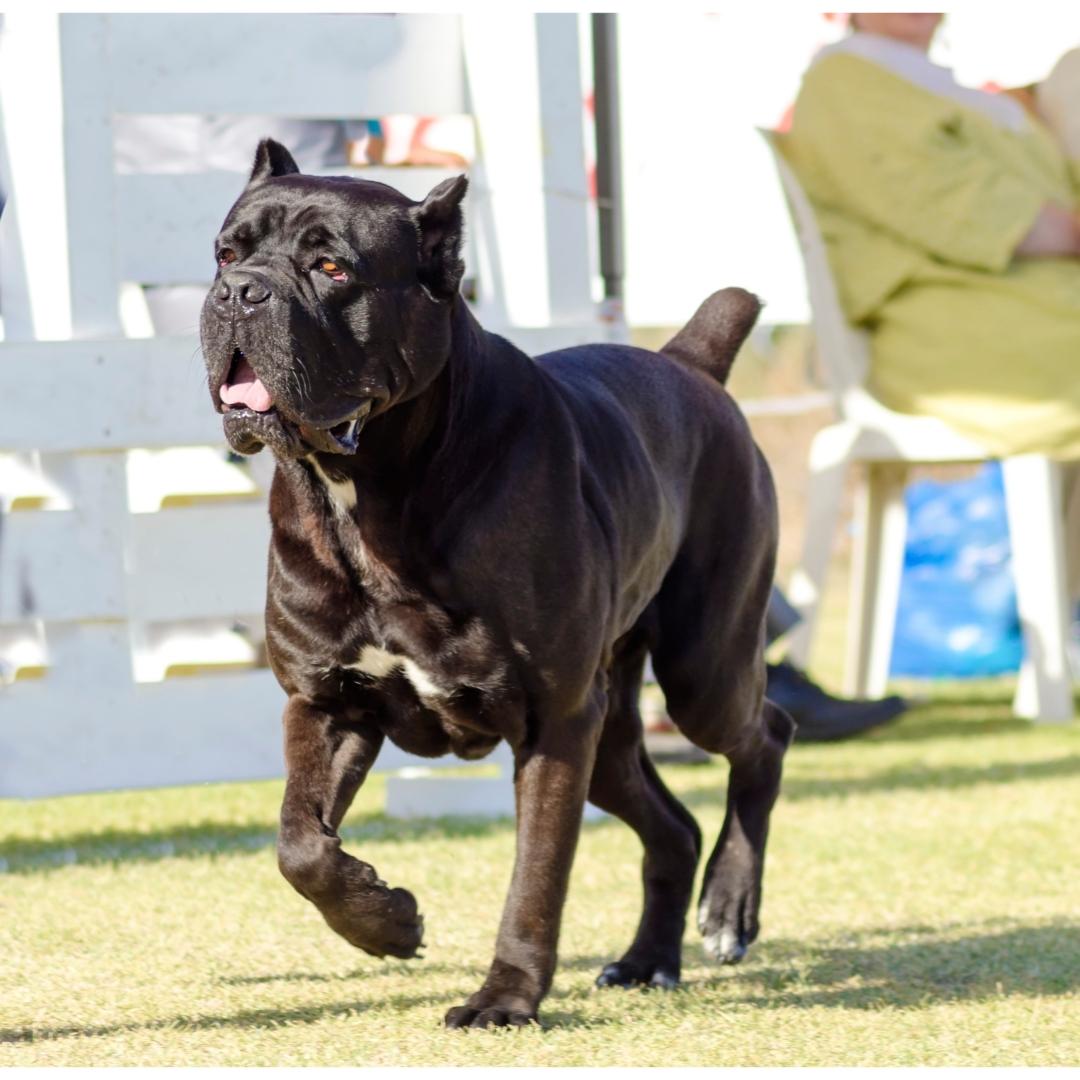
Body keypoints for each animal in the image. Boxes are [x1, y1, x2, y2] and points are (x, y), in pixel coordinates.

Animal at [200, 143, 794, 1028]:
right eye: (226, 254)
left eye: (332, 267)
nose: (241, 292)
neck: (370, 492)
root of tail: (687, 364)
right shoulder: (327, 702)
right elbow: (299, 844)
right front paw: (387, 922)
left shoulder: (554, 720)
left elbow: (536, 880)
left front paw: (505, 998)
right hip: (613, 733)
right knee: (674, 827)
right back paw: (648, 959)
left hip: (702, 669)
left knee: (766, 737)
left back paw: (728, 909)